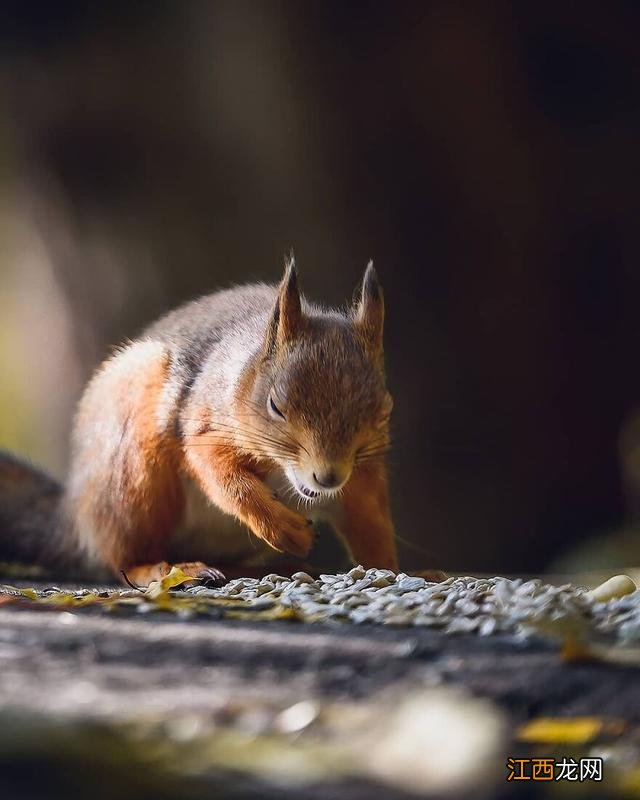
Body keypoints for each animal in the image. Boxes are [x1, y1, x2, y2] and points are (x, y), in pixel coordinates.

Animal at [0, 258, 400, 588]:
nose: (328, 477)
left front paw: (396, 572)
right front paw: (286, 529)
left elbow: (371, 524)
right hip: (129, 477)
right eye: (275, 405)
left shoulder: (363, 475)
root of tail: (76, 517)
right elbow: (225, 478)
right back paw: (162, 570)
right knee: (122, 558)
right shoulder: (206, 426)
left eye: (383, 410)